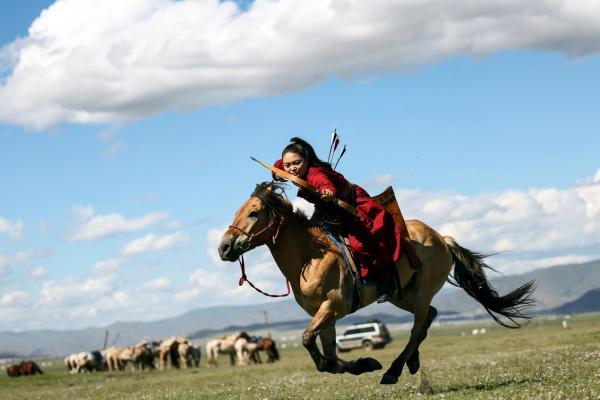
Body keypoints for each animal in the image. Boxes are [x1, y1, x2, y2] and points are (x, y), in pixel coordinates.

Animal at [219, 182, 536, 384]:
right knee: (428, 317)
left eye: (253, 213)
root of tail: (442, 238)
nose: (224, 247)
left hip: (421, 292)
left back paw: (394, 370)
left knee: (418, 325)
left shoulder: (333, 307)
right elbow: (327, 359)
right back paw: (410, 363)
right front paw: (363, 364)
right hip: (401, 293)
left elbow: (309, 342)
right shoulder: (323, 315)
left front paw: (368, 364)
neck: (309, 256)